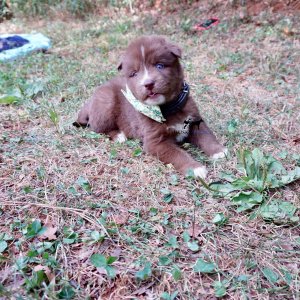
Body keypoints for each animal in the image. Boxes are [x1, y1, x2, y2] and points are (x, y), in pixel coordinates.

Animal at [76, 36, 226, 179]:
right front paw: (195, 168)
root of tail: (91, 101)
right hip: (106, 103)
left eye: (160, 65)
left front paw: (218, 151)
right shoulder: (155, 142)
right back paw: (119, 135)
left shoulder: (195, 119)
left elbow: (206, 135)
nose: (148, 84)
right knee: (97, 127)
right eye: (134, 73)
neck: (168, 108)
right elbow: (177, 154)